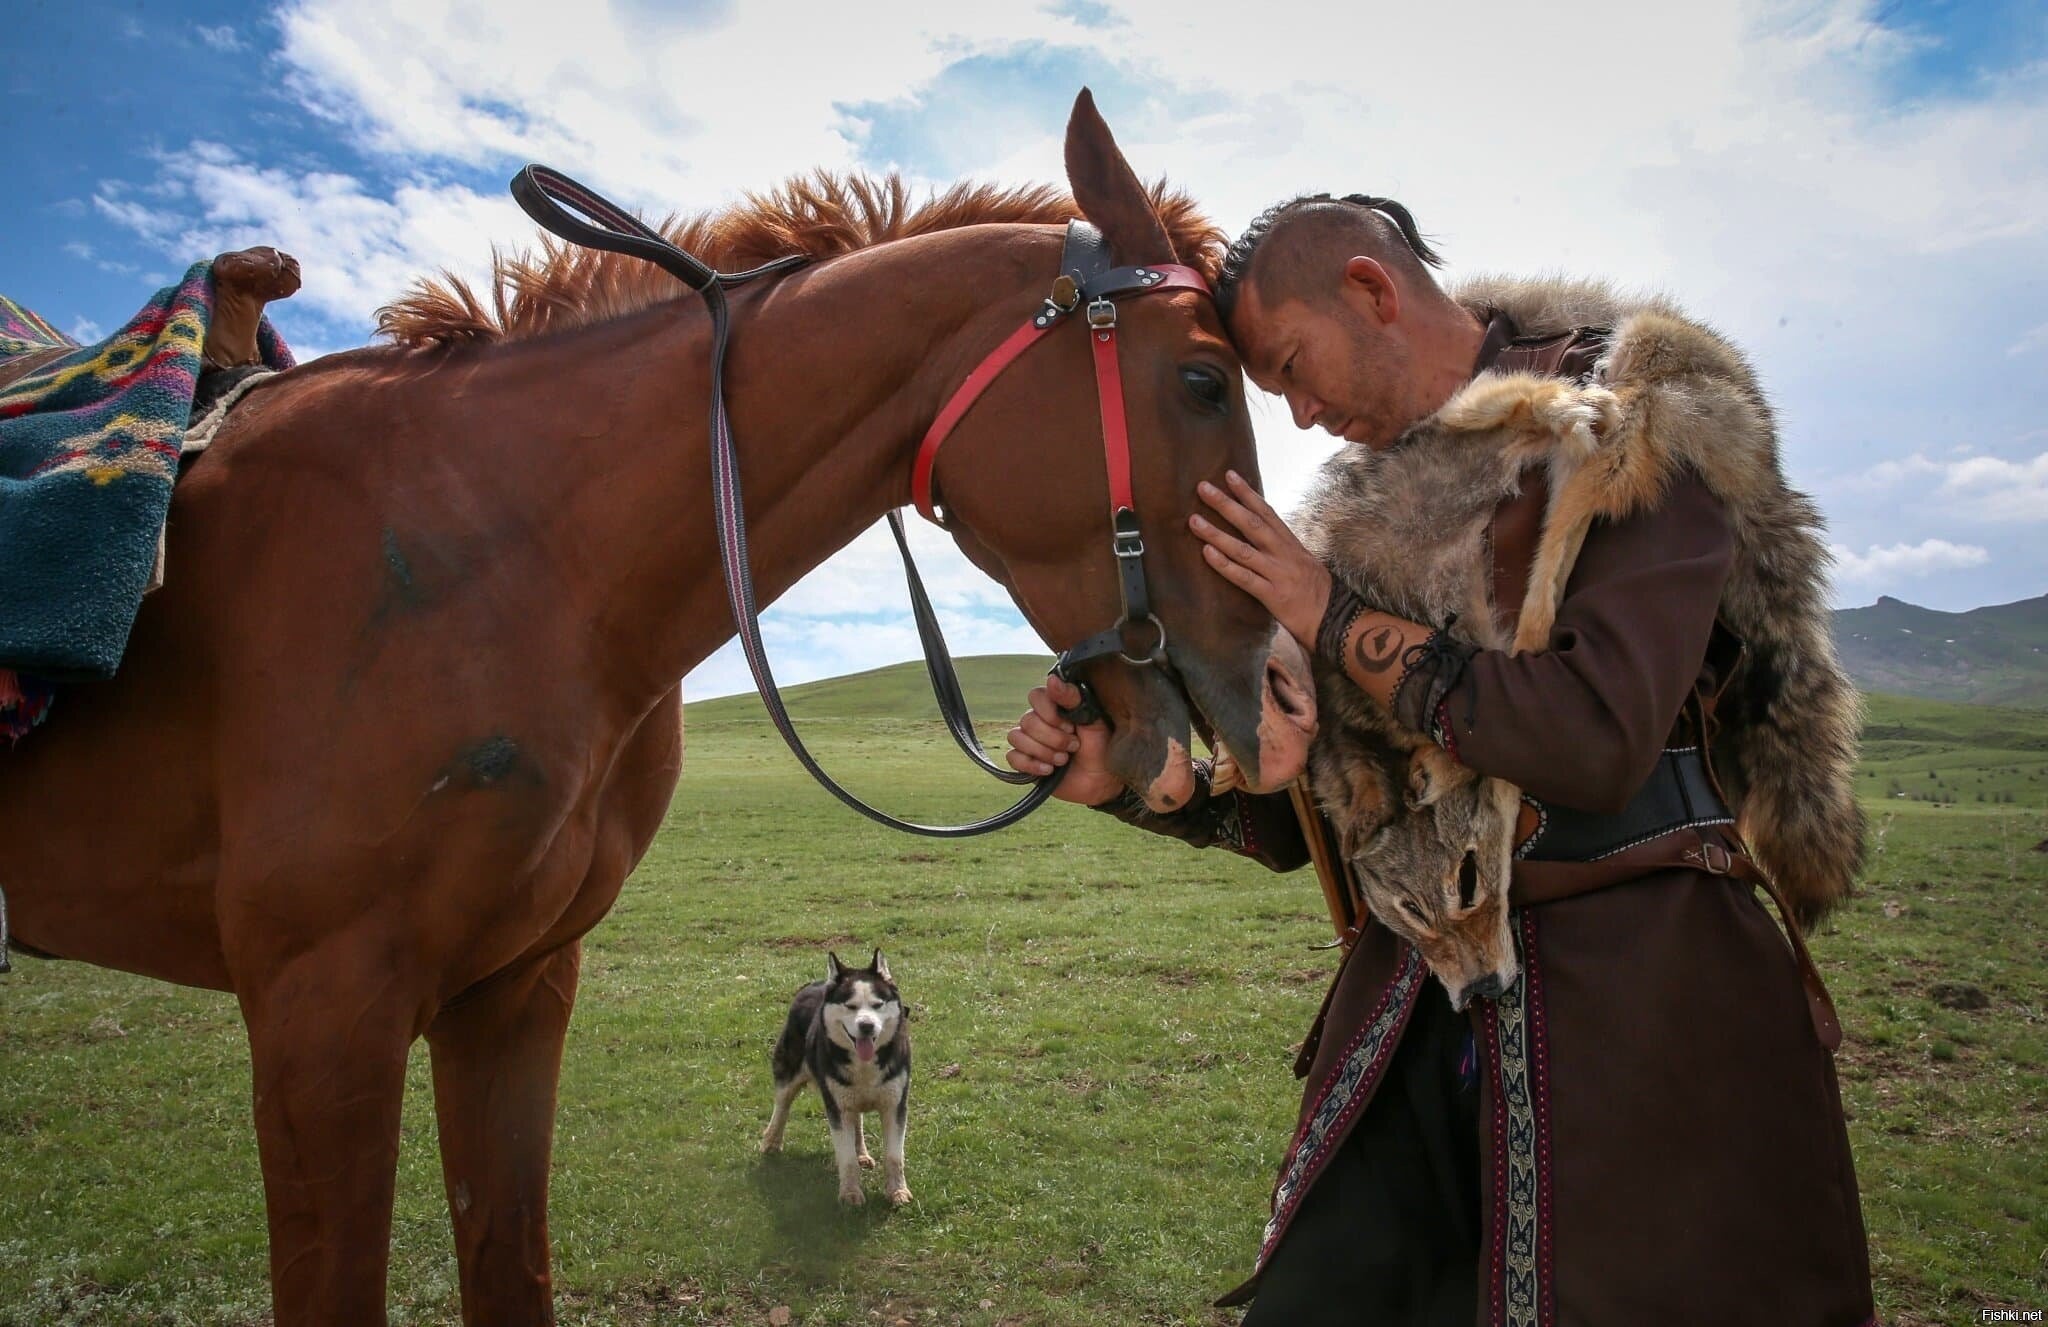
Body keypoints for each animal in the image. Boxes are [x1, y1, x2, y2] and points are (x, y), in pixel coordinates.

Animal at [761, 950, 913, 1204]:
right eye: (850, 1006)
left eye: (877, 1005)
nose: (866, 1025)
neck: (864, 1065)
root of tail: (816, 983)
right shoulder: (837, 1107)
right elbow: (846, 1158)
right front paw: (850, 1194)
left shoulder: (895, 1104)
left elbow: (894, 1156)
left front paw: (898, 1192)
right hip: (789, 1071)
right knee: (781, 1106)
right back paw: (771, 1141)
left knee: (856, 1120)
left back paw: (862, 1153)